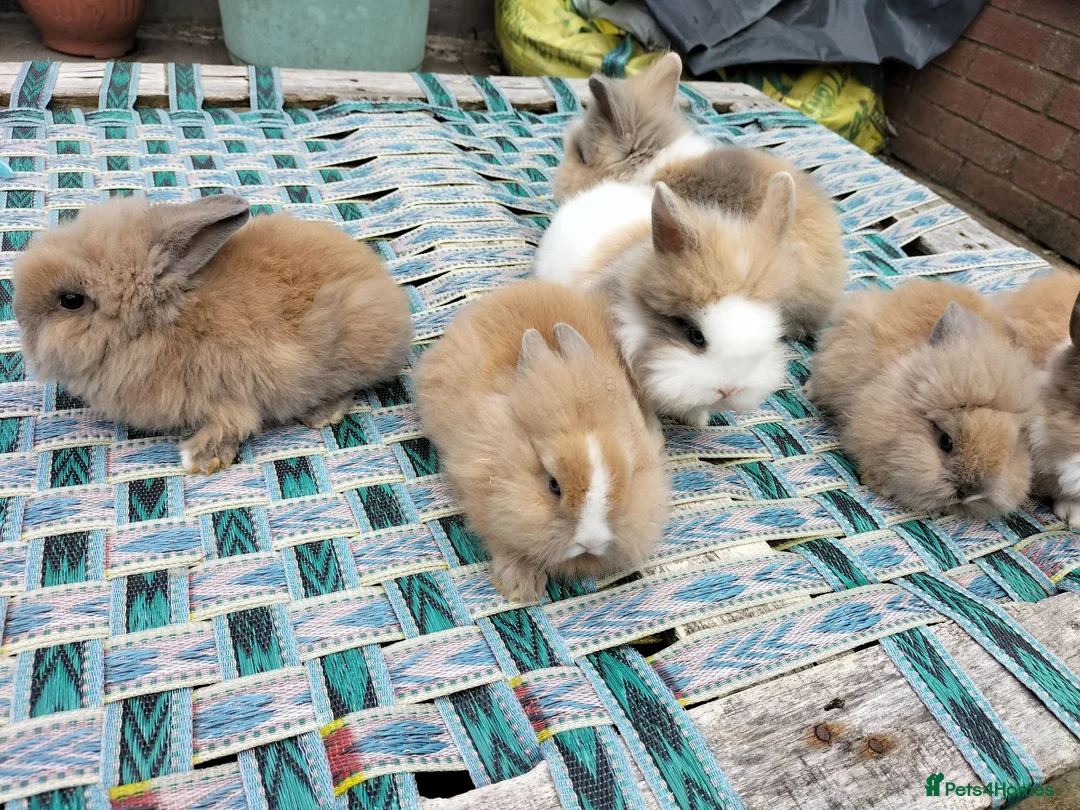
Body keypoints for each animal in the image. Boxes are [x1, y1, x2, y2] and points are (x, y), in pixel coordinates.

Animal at [14, 194, 413, 475]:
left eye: (71, 300)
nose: (19, 321)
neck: (166, 321)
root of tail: (389, 292)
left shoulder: (229, 390)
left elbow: (235, 423)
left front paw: (200, 459)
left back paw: (322, 414)